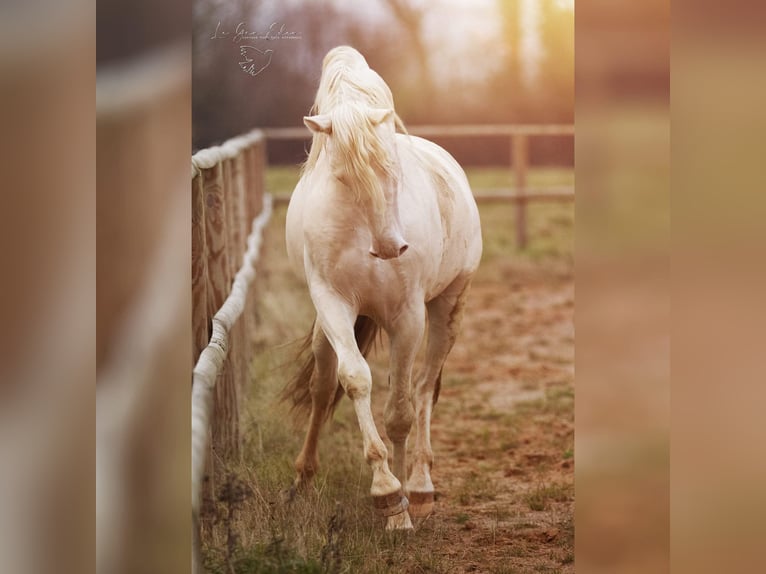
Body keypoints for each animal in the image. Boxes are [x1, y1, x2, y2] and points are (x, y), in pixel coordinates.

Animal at [284, 47, 484, 532]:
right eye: (342, 177)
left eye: (391, 170)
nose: (391, 247)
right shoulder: (333, 306)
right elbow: (355, 380)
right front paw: (386, 491)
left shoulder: (407, 318)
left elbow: (400, 412)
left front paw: (402, 506)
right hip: (329, 328)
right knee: (323, 387)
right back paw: (304, 478)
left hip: (448, 308)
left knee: (424, 386)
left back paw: (422, 486)